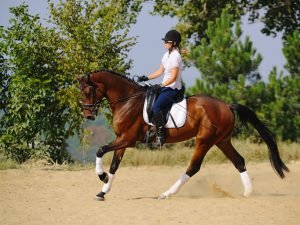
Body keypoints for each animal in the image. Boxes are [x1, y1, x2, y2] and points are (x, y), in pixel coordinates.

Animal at [77, 70, 288, 200]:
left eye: (88, 90)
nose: (88, 115)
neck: (127, 101)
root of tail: (227, 106)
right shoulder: (122, 140)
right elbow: (114, 165)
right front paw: (102, 191)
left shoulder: (127, 140)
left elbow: (100, 151)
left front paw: (101, 176)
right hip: (222, 140)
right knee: (239, 161)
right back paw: (247, 192)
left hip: (204, 140)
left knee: (193, 167)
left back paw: (166, 194)